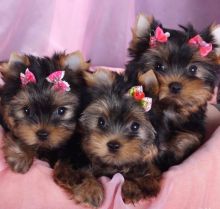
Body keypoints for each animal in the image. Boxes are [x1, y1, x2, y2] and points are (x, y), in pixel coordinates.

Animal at [52, 69, 160, 207]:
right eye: (101, 122)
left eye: (135, 126)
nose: (113, 144)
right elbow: (82, 170)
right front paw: (90, 190)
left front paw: (132, 187)